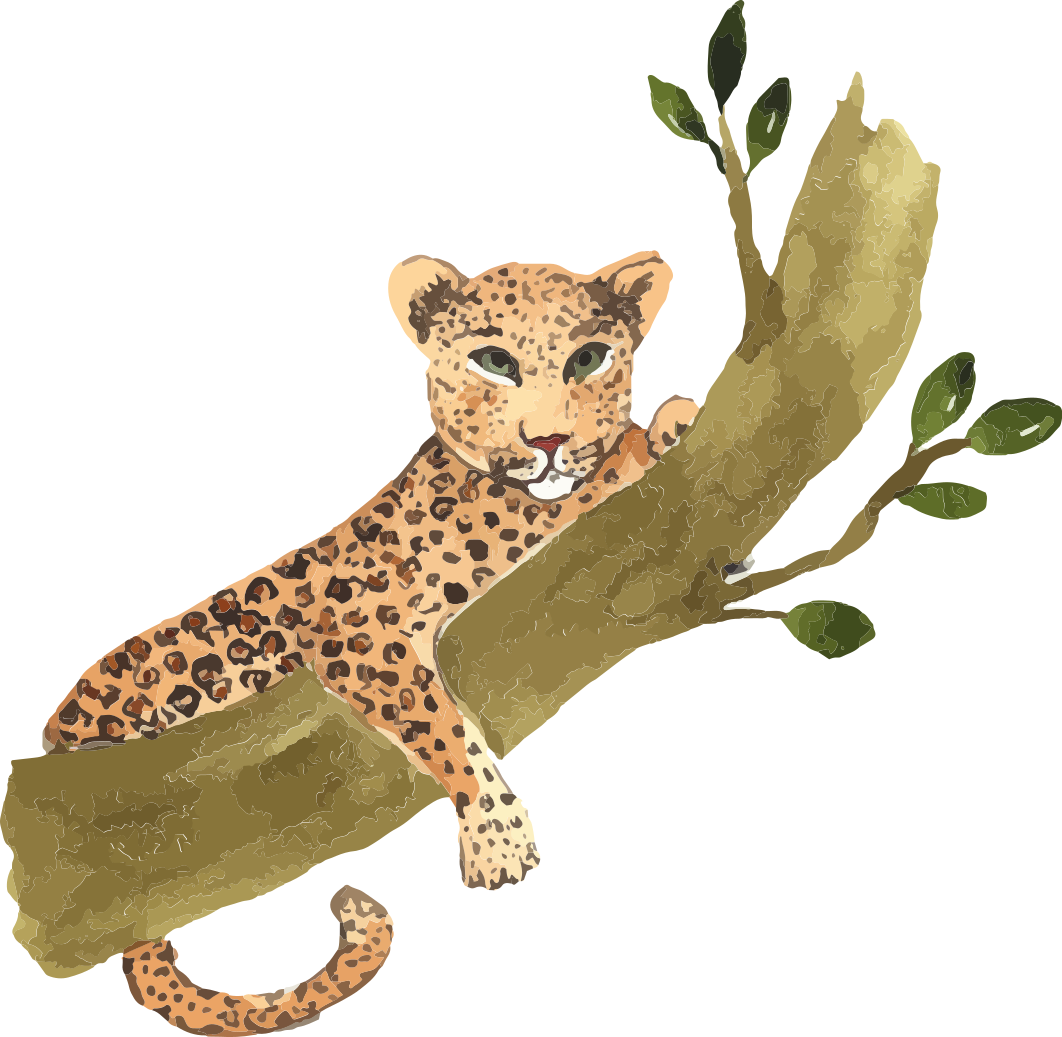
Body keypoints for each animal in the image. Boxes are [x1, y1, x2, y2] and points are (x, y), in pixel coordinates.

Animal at [43, 250, 699, 1034]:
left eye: (590, 357)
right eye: (493, 362)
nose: (548, 443)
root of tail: (59, 735)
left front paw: (664, 426)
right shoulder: (362, 633)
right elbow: (442, 722)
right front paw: (496, 836)